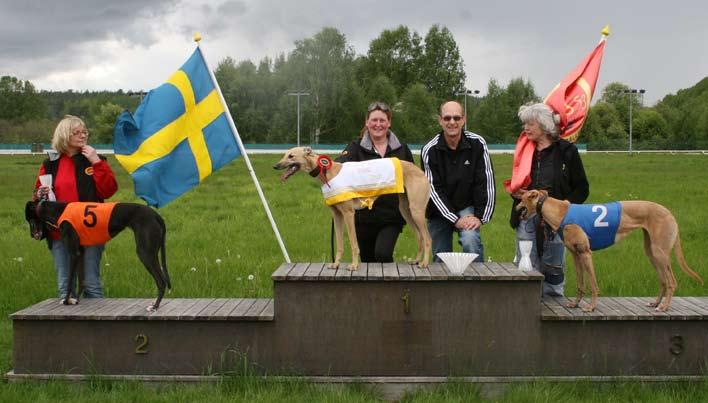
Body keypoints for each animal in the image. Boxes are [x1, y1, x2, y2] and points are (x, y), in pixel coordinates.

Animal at [516, 191, 704, 314]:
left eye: (523, 198)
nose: (516, 207)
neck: (560, 212)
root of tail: (669, 212)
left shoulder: (586, 254)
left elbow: (593, 285)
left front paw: (591, 307)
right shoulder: (576, 255)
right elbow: (580, 284)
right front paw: (575, 304)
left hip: (660, 253)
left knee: (671, 281)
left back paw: (664, 306)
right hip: (652, 253)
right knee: (664, 280)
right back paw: (656, 303)